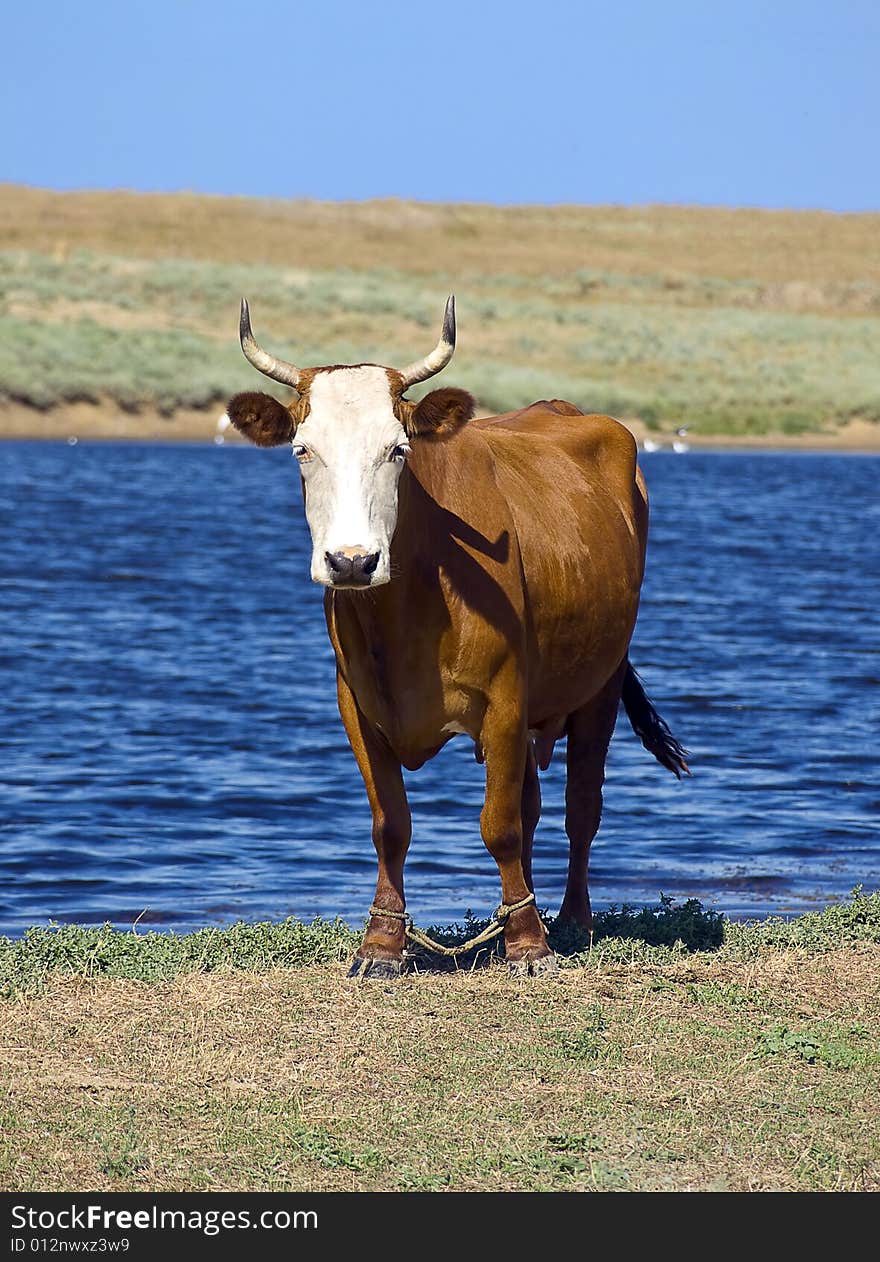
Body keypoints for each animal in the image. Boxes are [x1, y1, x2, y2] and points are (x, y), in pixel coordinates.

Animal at [220, 292, 686, 974]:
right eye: (302, 449)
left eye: (398, 449)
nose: (352, 562)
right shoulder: (356, 705)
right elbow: (391, 824)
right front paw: (383, 942)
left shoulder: (505, 699)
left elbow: (500, 825)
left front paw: (528, 945)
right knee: (536, 806)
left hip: (598, 683)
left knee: (580, 808)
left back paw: (571, 919)